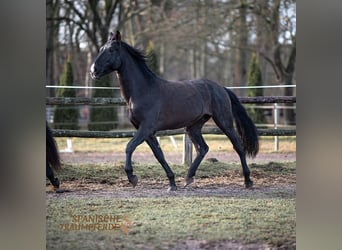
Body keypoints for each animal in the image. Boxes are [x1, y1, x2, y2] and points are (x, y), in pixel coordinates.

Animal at [89, 31, 258, 191]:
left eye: (111, 50)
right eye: (101, 49)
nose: (93, 70)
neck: (144, 91)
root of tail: (221, 88)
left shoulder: (146, 128)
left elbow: (129, 146)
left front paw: (132, 178)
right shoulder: (147, 131)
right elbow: (159, 155)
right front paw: (172, 183)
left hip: (224, 122)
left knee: (238, 146)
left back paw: (248, 181)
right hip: (193, 127)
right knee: (203, 148)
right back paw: (188, 178)